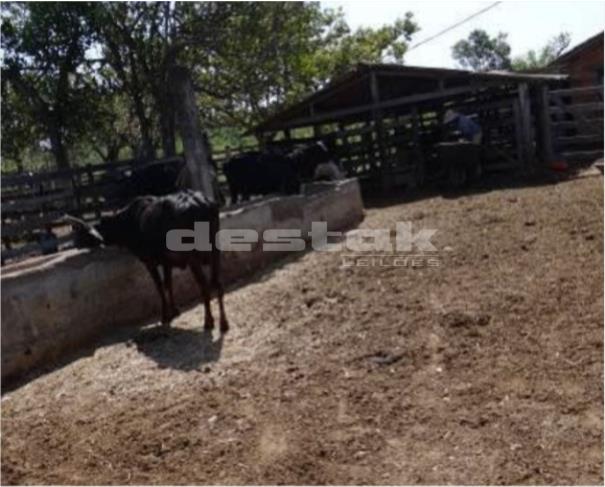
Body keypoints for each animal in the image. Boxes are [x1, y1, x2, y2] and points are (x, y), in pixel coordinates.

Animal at [65, 190, 228, 332]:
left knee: (205, 286)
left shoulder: (149, 262)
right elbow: (168, 284)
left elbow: (159, 286)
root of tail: (203, 204)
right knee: (217, 283)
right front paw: (175, 311)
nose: (74, 244)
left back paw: (209, 322)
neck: (129, 221)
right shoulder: (166, 262)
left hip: (194, 258)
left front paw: (165, 316)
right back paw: (224, 324)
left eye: (82, 233)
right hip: (215, 251)